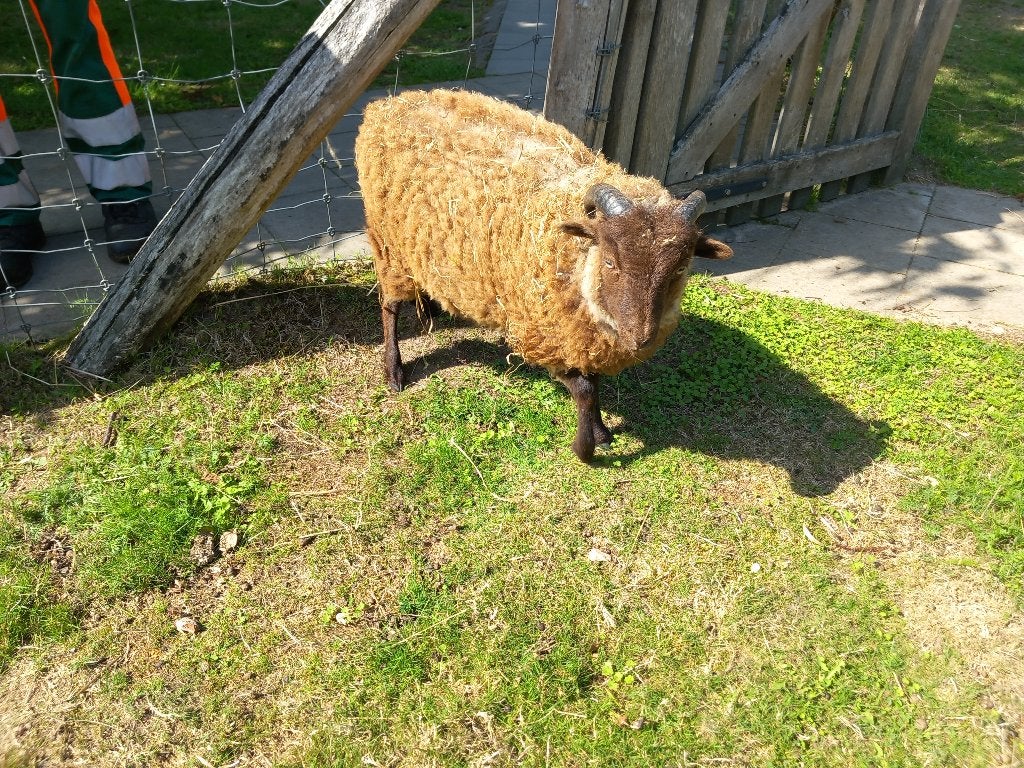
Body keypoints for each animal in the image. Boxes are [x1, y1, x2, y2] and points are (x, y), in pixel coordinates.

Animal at [354, 88, 733, 462]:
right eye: (611, 262)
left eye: (681, 267)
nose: (640, 338)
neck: (580, 265)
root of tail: (387, 103)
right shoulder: (544, 336)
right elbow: (584, 389)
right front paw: (585, 448)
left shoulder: (581, 337)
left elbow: (594, 383)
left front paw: (601, 431)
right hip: (388, 246)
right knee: (388, 308)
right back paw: (394, 372)